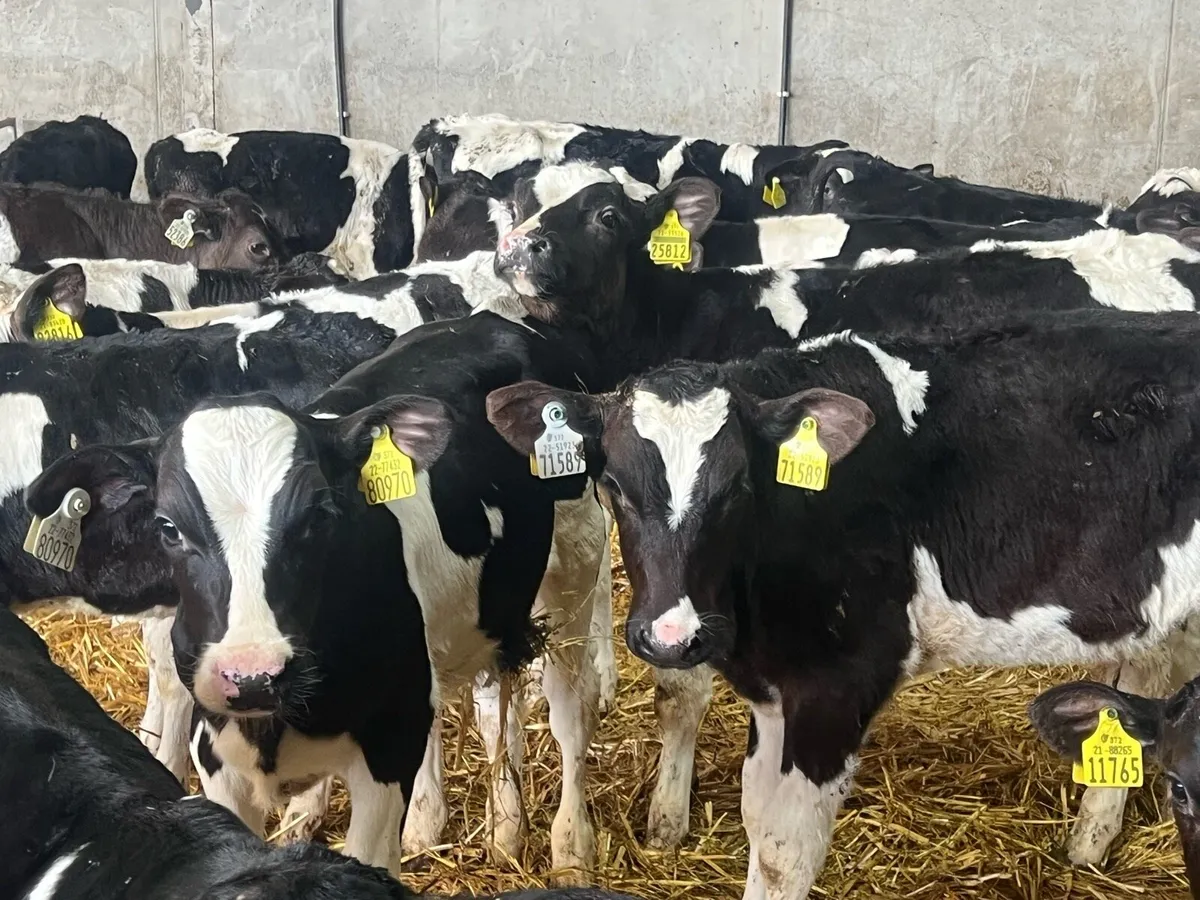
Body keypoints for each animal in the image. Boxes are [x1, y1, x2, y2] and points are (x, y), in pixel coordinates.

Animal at [29, 309, 608, 877]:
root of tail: (491, 320)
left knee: (567, 708)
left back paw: (570, 846)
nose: (253, 674)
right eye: (168, 527)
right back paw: (463, 821)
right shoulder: (216, 753)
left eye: (319, 514)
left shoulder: (387, 747)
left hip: (576, 561)